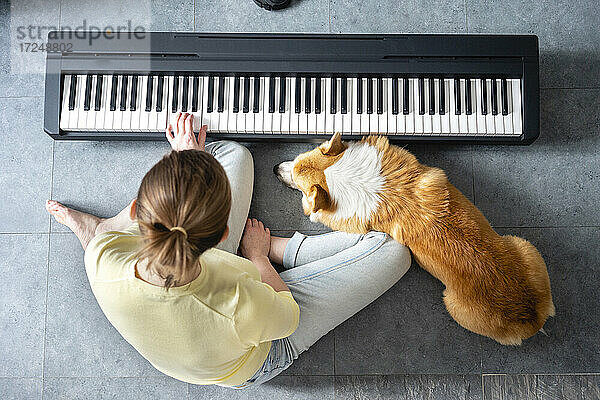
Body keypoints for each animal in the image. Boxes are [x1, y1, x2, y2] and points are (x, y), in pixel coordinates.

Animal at [274, 133, 556, 346]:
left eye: (298, 184)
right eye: (296, 159)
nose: (274, 168)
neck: (346, 178)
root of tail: (530, 318)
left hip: (454, 305)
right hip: (525, 245)